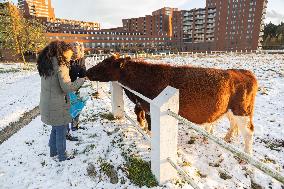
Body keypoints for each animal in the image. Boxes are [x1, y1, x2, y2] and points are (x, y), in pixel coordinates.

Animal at [86, 54, 258, 154]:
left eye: (106, 63)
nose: (87, 71)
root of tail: (244, 72)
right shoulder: (142, 105)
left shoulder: (151, 108)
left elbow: (150, 126)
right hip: (229, 110)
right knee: (233, 123)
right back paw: (227, 138)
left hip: (242, 111)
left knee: (248, 132)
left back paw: (246, 155)